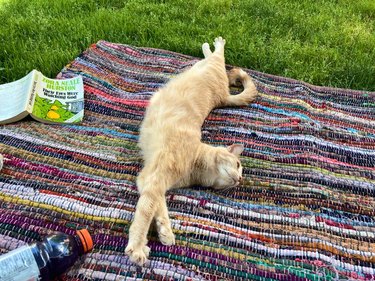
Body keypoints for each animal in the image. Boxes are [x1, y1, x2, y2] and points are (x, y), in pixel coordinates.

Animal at [125, 36, 258, 264]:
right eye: (238, 164)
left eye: (241, 175)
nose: (240, 179)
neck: (193, 169)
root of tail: (223, 96)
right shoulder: (153, 180)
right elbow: (146, 212)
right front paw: (138, 247)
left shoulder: (152, 182)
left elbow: (158, 206)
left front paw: (165, 232)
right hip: (215, 66)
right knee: (218, 54)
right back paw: (217, 42)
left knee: (212, 56)